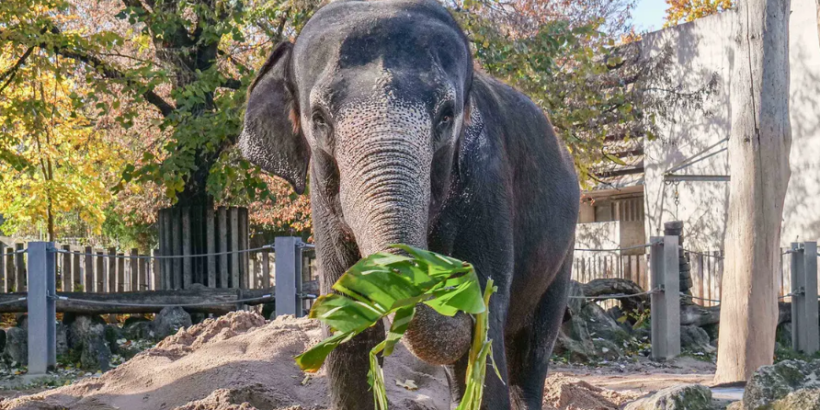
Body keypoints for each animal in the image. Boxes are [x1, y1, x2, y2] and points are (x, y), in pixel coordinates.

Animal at [240, 0, 580, 406]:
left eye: (446, 115)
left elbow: (487, 328)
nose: (453, 275)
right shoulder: (321, 200)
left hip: (563, 252)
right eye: (319, 119)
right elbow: (347, 324)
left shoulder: (487, 179)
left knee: (530, 351)